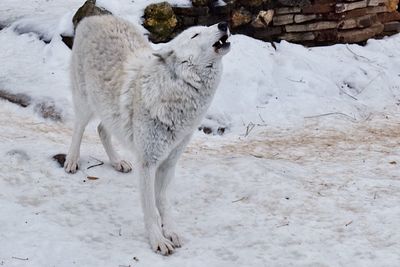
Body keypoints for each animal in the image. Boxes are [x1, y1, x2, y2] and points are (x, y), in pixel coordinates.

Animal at [64, 15, 230, 256]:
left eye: (207, 27)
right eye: (195, 34)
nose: (223, 24)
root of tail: (95, 17)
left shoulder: (169, 163)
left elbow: (163, 202)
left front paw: (170, 230)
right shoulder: (147, 163)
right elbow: (150, 208)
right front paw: (158, 240)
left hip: (109, 112)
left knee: (101, 129)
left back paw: (118, 162)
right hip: (86, 104)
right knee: (78, 128)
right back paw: (72, 160)